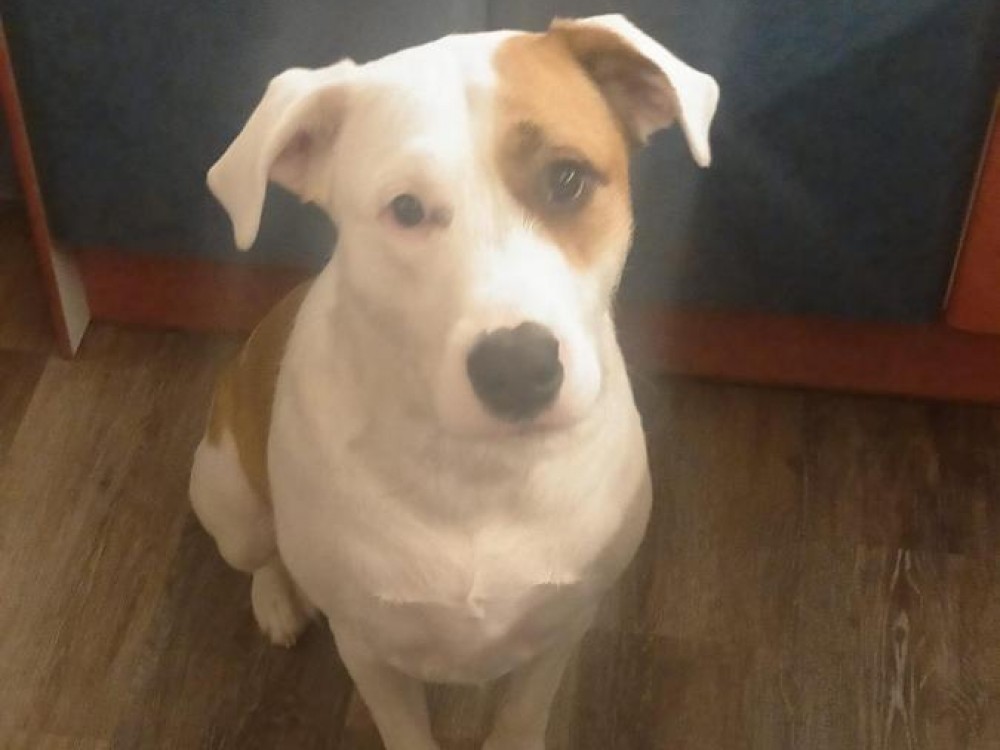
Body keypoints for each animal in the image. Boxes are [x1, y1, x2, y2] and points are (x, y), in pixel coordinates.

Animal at [191, 14, 717, 749]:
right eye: (406, 209)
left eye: (567, 179)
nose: (518, 366)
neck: (479, 470)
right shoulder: (368, 649)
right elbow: (404, 727)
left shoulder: (563, 627)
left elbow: (523, 713)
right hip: (229, 499)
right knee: (261, 552)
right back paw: (277, 598)